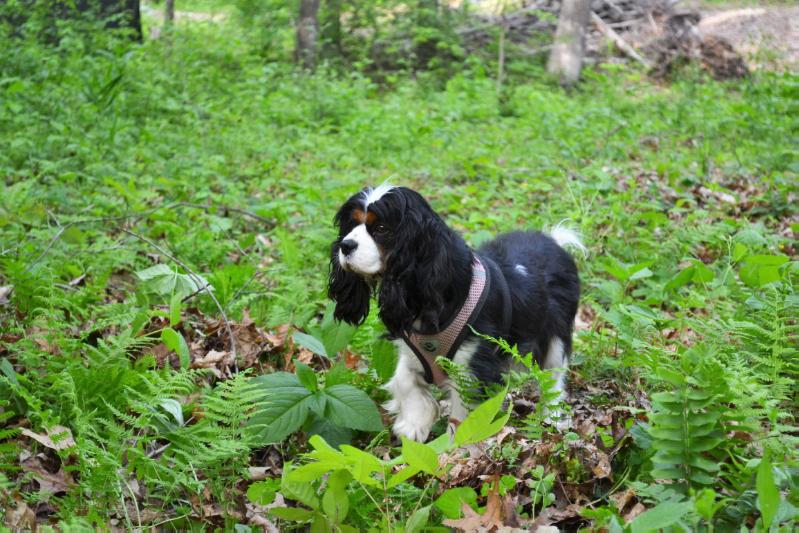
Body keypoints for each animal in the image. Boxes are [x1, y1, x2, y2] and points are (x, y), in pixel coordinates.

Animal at [328, 185, 584, 442]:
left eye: (381, 229)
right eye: (351, 225)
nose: (345, 245)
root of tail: (553, 241)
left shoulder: (470, 367)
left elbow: (463, 415)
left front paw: (453, 447)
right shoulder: (411, 351)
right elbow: (404, 380)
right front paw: (413, 424)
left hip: (555, 337)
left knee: (554, 378)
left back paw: (552, 417)